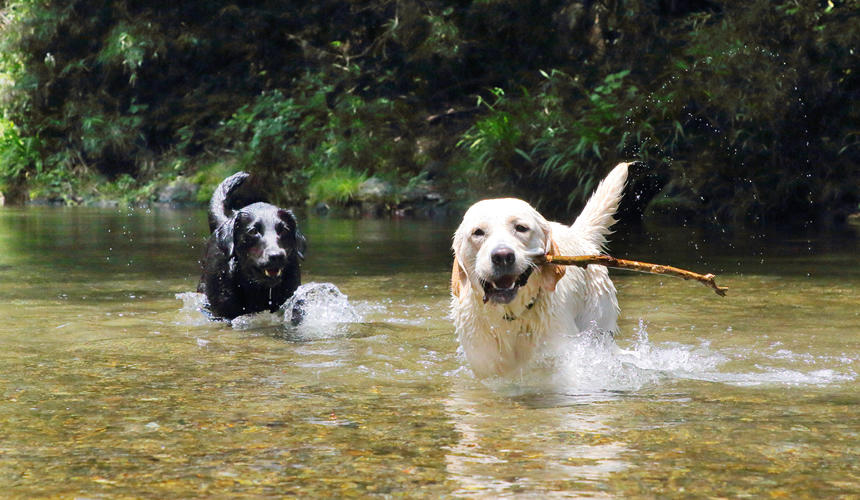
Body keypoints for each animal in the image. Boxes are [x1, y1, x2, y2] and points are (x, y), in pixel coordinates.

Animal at [454, 162, 628, 376]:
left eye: (521, 228)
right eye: (478, 232)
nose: (502, 256)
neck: (511, 316)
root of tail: (579, 236)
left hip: (598, 324)